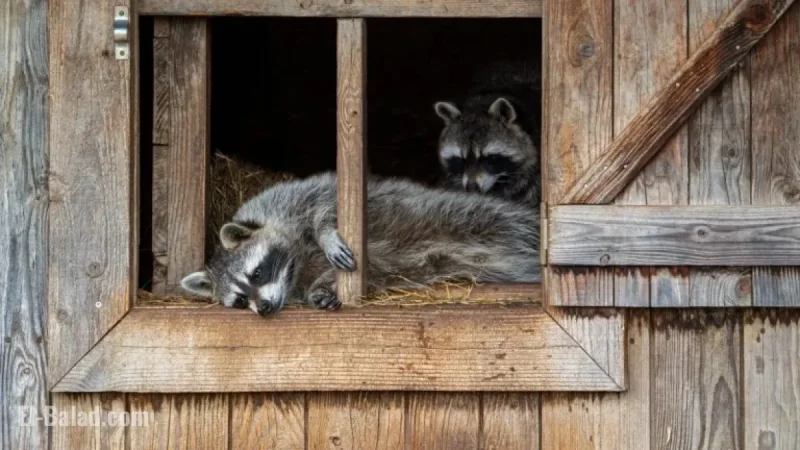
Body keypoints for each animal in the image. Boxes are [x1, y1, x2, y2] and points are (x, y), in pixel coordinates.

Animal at [180, 172, 541, 316]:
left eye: (256, 274)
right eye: (240, 300)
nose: (265, 308)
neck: (295, 266)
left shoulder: (294, 197)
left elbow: (326, 206)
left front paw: (326, 233)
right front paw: (319, 291)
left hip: (472, 216)